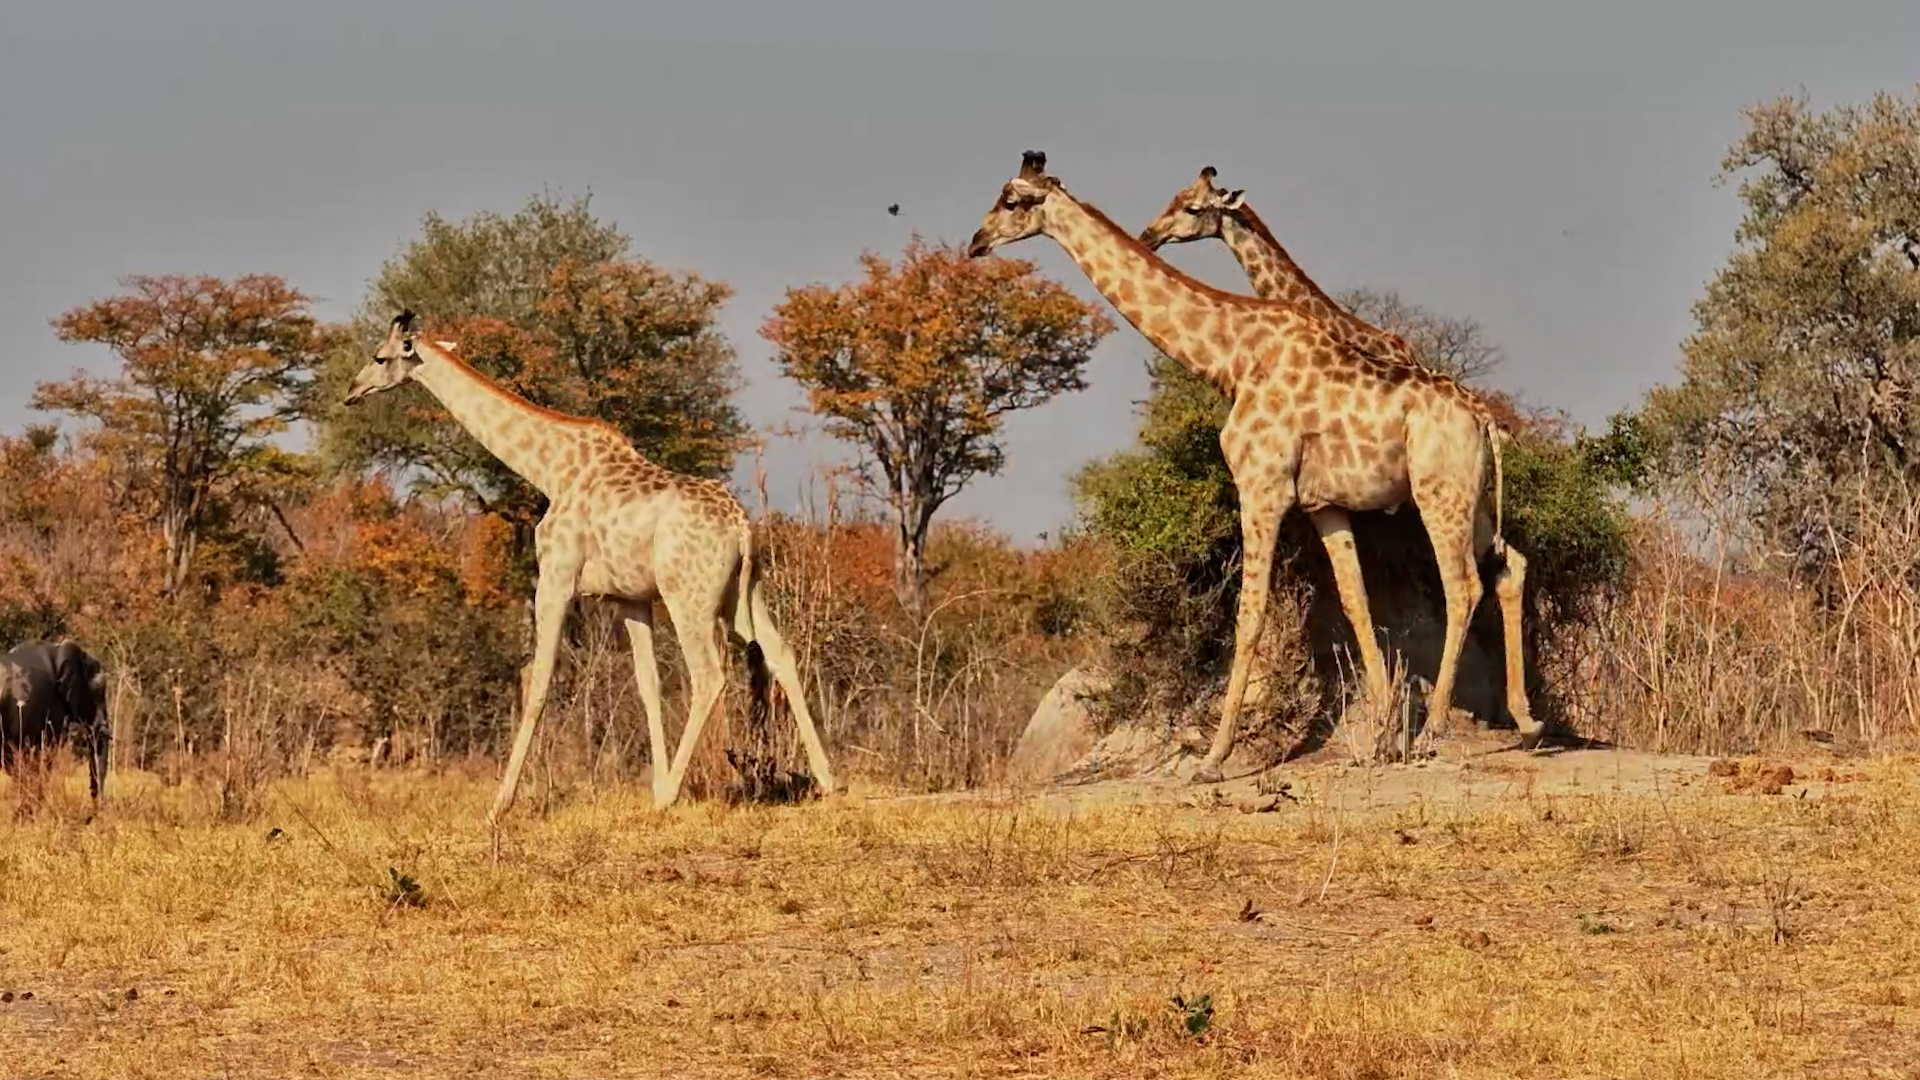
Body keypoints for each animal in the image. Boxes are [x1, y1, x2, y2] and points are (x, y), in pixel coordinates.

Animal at [342, 311, 836, 824]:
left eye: (380, 357)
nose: (351, 390)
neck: (549, 468)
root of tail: (740, 527)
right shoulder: (630, 598)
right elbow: (648, 686)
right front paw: (653, 785)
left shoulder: (556, 579)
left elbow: (536, 685)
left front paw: (499, 805)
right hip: (743, 592)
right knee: (781, 652)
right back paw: (829, 781)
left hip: (689, 597)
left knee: (708, 675)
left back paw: (674, 794)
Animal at [967, 152, 1539, 782]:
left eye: (1012, 201)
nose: (976, 242)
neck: (1231, 358)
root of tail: (1483, 418)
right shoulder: (1325, 505)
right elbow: (1356, 603)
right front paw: (1385, 739)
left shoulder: (1262, 487)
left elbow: (1250, 614)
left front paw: (1212, 758)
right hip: (1475, 497)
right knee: (1509, 566)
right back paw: (1527, 723)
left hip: (1439, 493)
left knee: (1462, 584)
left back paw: (1438, 728)